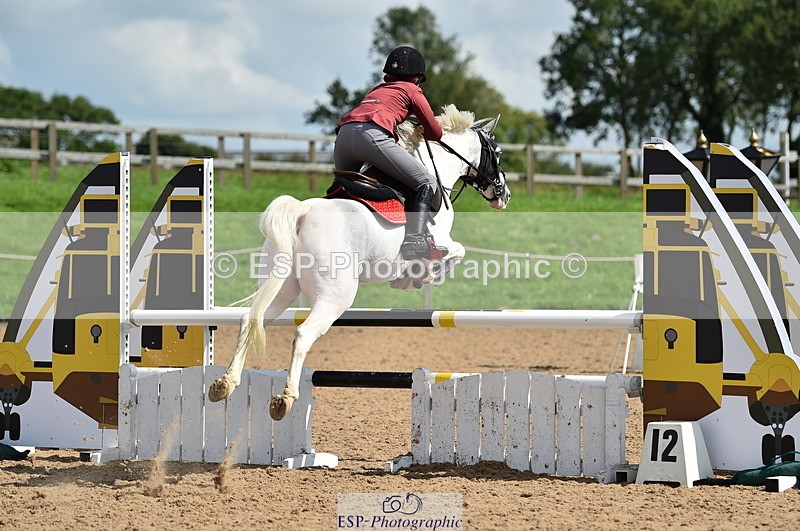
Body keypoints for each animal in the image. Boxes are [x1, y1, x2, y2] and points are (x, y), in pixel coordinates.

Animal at [208, 104, 511, 420]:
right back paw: (285, 398)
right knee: (303, 333)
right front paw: (419, 276)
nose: (504, 195)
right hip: (335, 295)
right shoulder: (442, 240)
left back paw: (225, 383)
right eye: (498, 153)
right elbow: (456, 252)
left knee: (250, 320)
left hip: (282, 288)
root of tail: (302, 211)